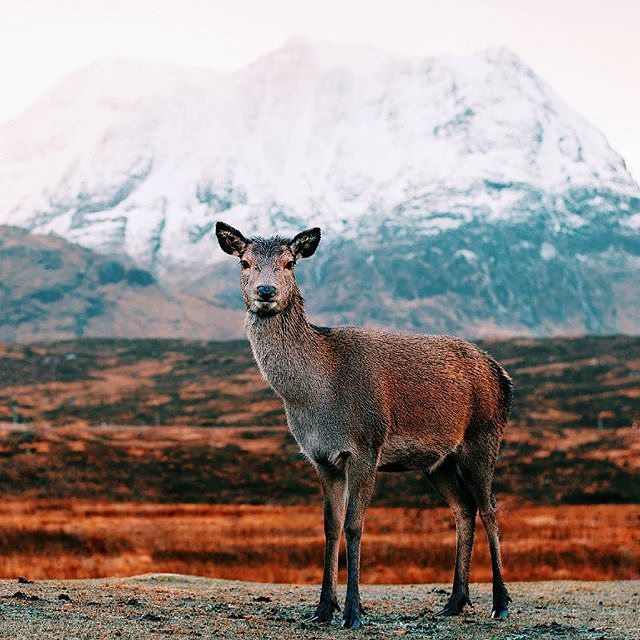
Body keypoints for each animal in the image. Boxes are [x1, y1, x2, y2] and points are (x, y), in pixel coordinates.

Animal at [218, 221, 512, 632]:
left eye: (290, 263)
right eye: (244, 262)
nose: (266, 291)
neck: (315, 397)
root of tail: (503, 377)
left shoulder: (365, 448)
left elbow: (355, 525)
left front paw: (354, 611)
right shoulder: (321, 458)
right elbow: (330, 526)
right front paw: (323, 609)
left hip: (483, 439)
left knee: (489, 508)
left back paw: (500, 602)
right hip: (437, 462)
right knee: (463, 509)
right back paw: (454, 602)